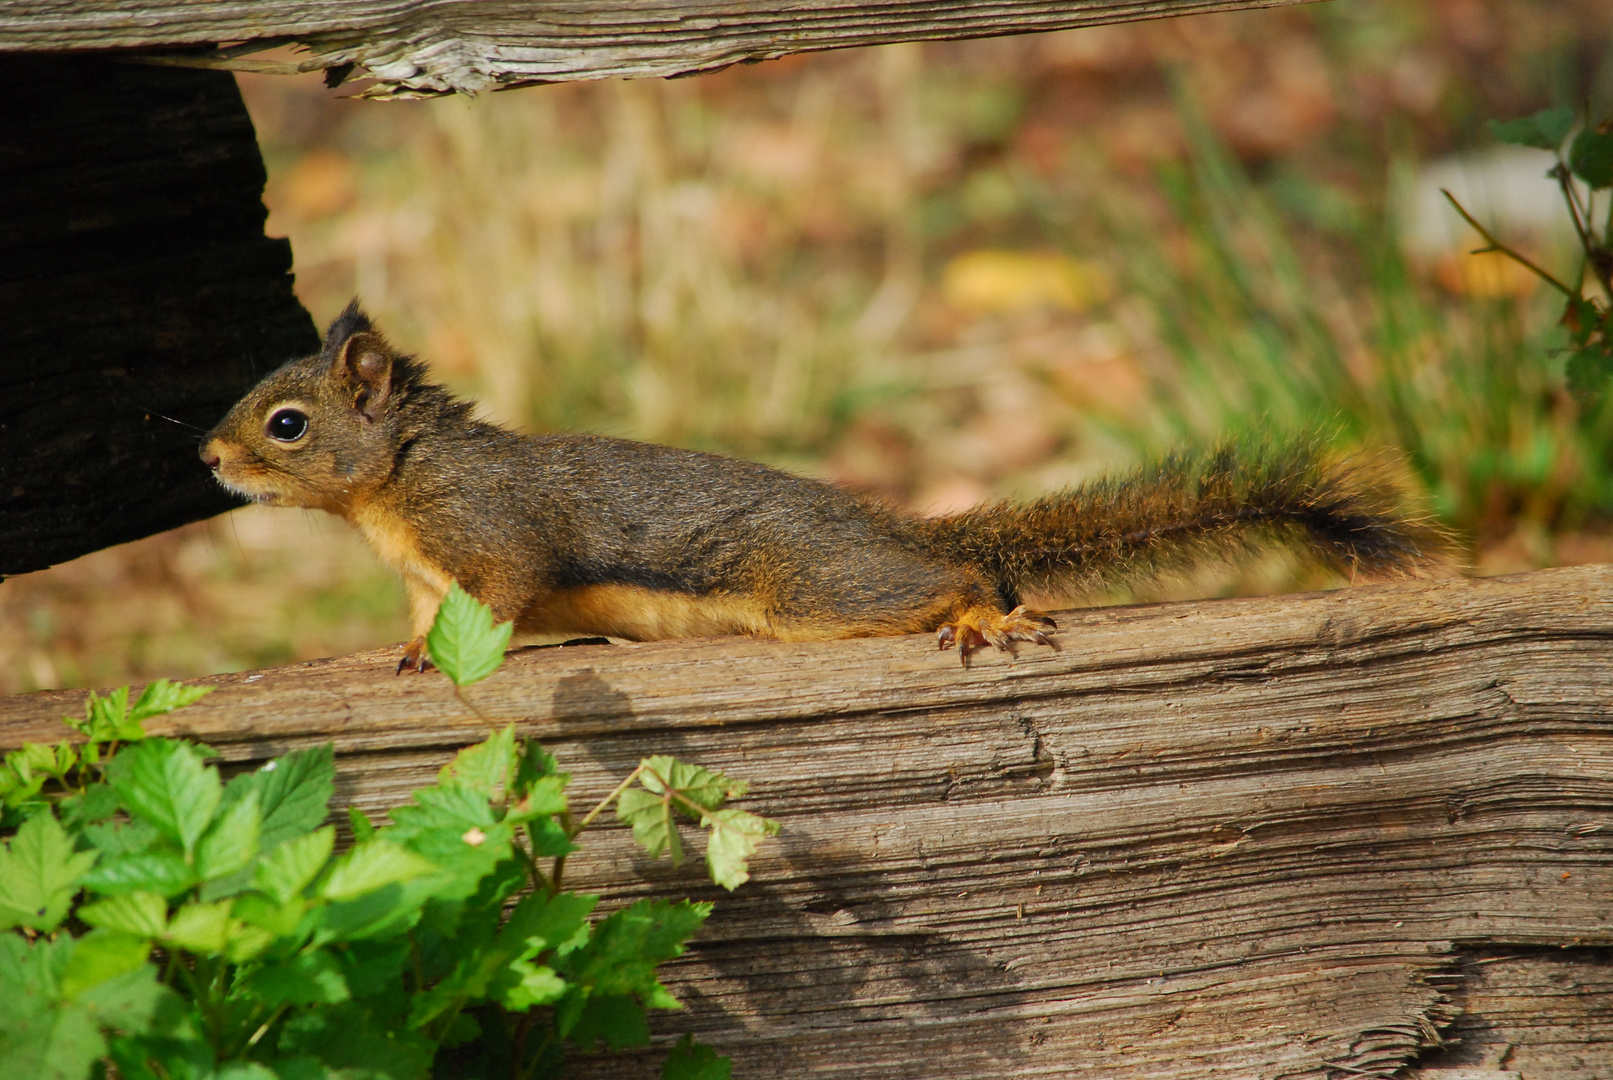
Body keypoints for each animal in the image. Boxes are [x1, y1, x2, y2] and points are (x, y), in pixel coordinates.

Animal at [204, 303, 1451, 667]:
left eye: (286, 423)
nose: (208, 459)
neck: (393, 486)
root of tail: (884, 524)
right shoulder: (423, 571)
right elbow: (430, 616)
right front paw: (407, 652)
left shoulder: (485, 532)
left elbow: (500, 597)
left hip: (815, 592)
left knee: (947, 579)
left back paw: (976, 612)